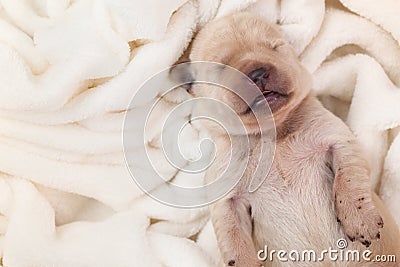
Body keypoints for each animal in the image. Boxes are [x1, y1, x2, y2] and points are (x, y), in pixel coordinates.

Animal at [188, 11, 400, 266]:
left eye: (275, 47)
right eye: (222, 66)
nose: (258, 73)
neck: (273, 133)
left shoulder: (337, 139)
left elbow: (348, 179)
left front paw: (360, 219)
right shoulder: (226, 198)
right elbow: (233, 239)